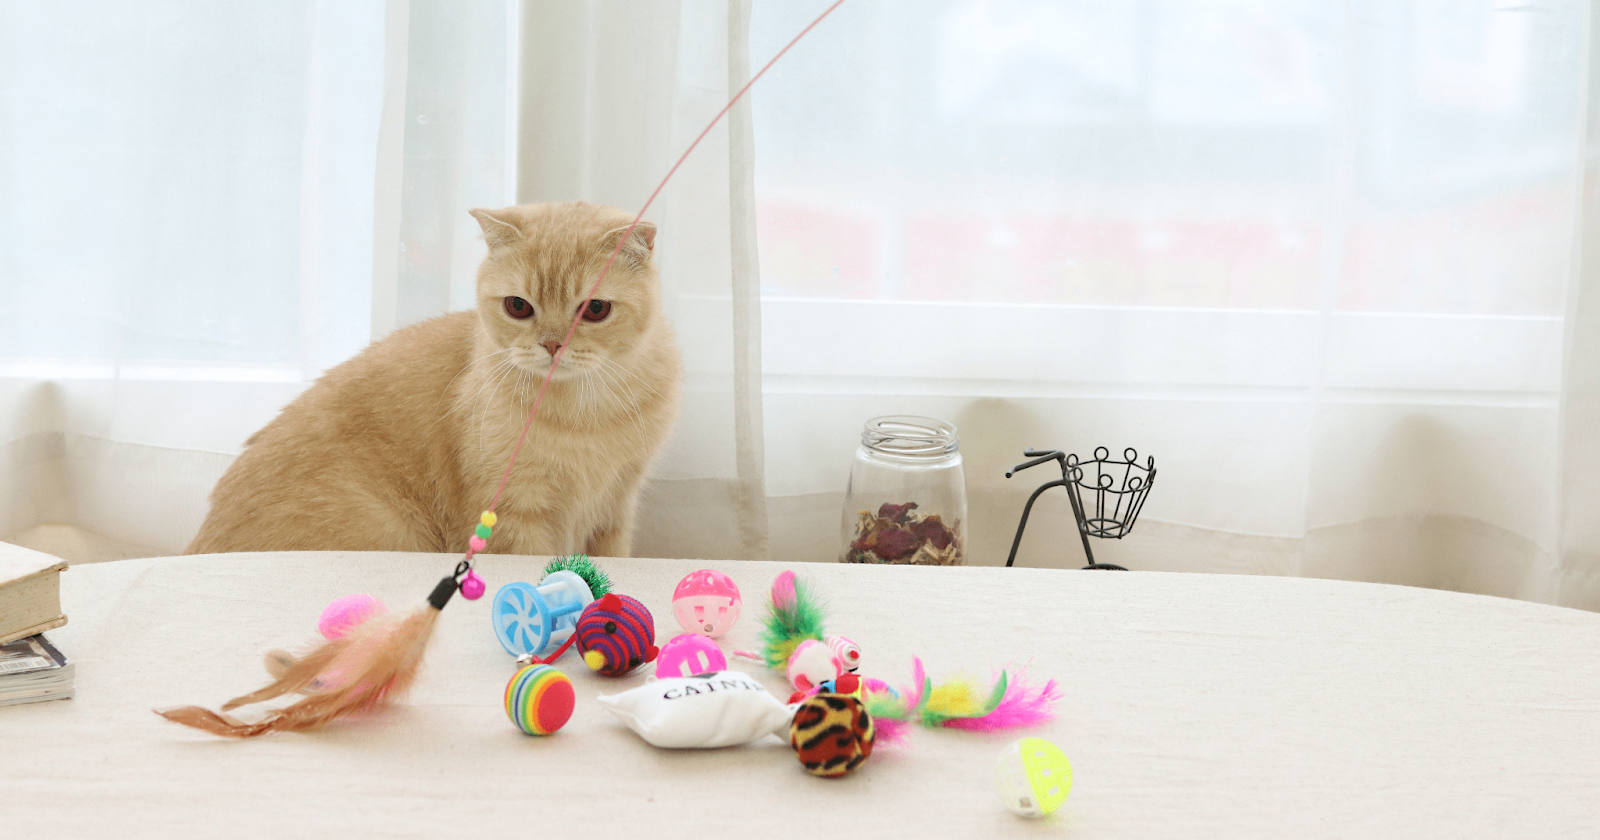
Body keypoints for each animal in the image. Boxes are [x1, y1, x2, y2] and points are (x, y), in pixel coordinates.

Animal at [185, 200, 681, 556]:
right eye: (518, 306)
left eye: (595, 309)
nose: (552, 344)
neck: (586, 414)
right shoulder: (511, 518)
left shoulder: (615, 510)